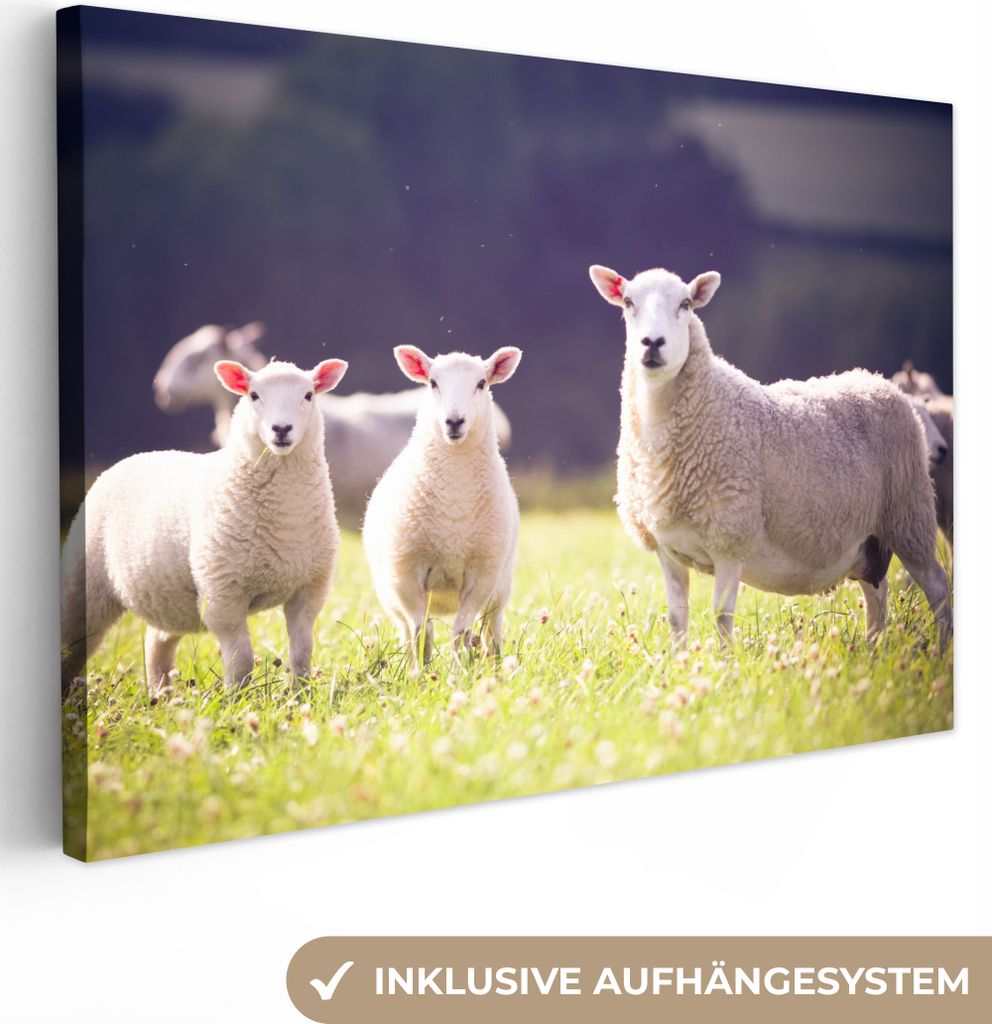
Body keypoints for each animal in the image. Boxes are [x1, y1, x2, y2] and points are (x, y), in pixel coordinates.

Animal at [61, 356, 348, 697]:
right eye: (253, 395)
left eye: (308, 395)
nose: (281, 429)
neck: (285, 518)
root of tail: (137, 456)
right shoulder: (222, 593)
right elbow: (241, 659)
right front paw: (238, 700)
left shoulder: (309, 590)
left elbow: (302, 652)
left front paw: (301, 695)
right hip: (83, 586)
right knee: (72, 646)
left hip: (170, 599)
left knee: (156, 643)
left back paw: (161, 695)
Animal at [362, 345, 522, 668]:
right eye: (433, 383)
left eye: (481, 383)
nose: (454, 421)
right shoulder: (405, 574)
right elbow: (421, 632)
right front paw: (420, 675)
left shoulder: (482, 575)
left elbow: (461, 633)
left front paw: (459, 671)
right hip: (390, 594)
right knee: (408, 631)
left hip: (501, 587)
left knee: (491, 629)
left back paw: (495, 665)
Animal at [588, 263, 952, 647]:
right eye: (628, 302)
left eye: (685, 304)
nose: (653, 343)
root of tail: (877, 381)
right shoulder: (668, 549)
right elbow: (676, 619)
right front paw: (678, 659)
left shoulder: (731, 540)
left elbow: (721, 616)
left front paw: (725, 659)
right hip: (869, 540)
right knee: (877, 597)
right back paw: (872, 647)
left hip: (909, 514)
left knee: (937, 587)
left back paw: (939, 647)